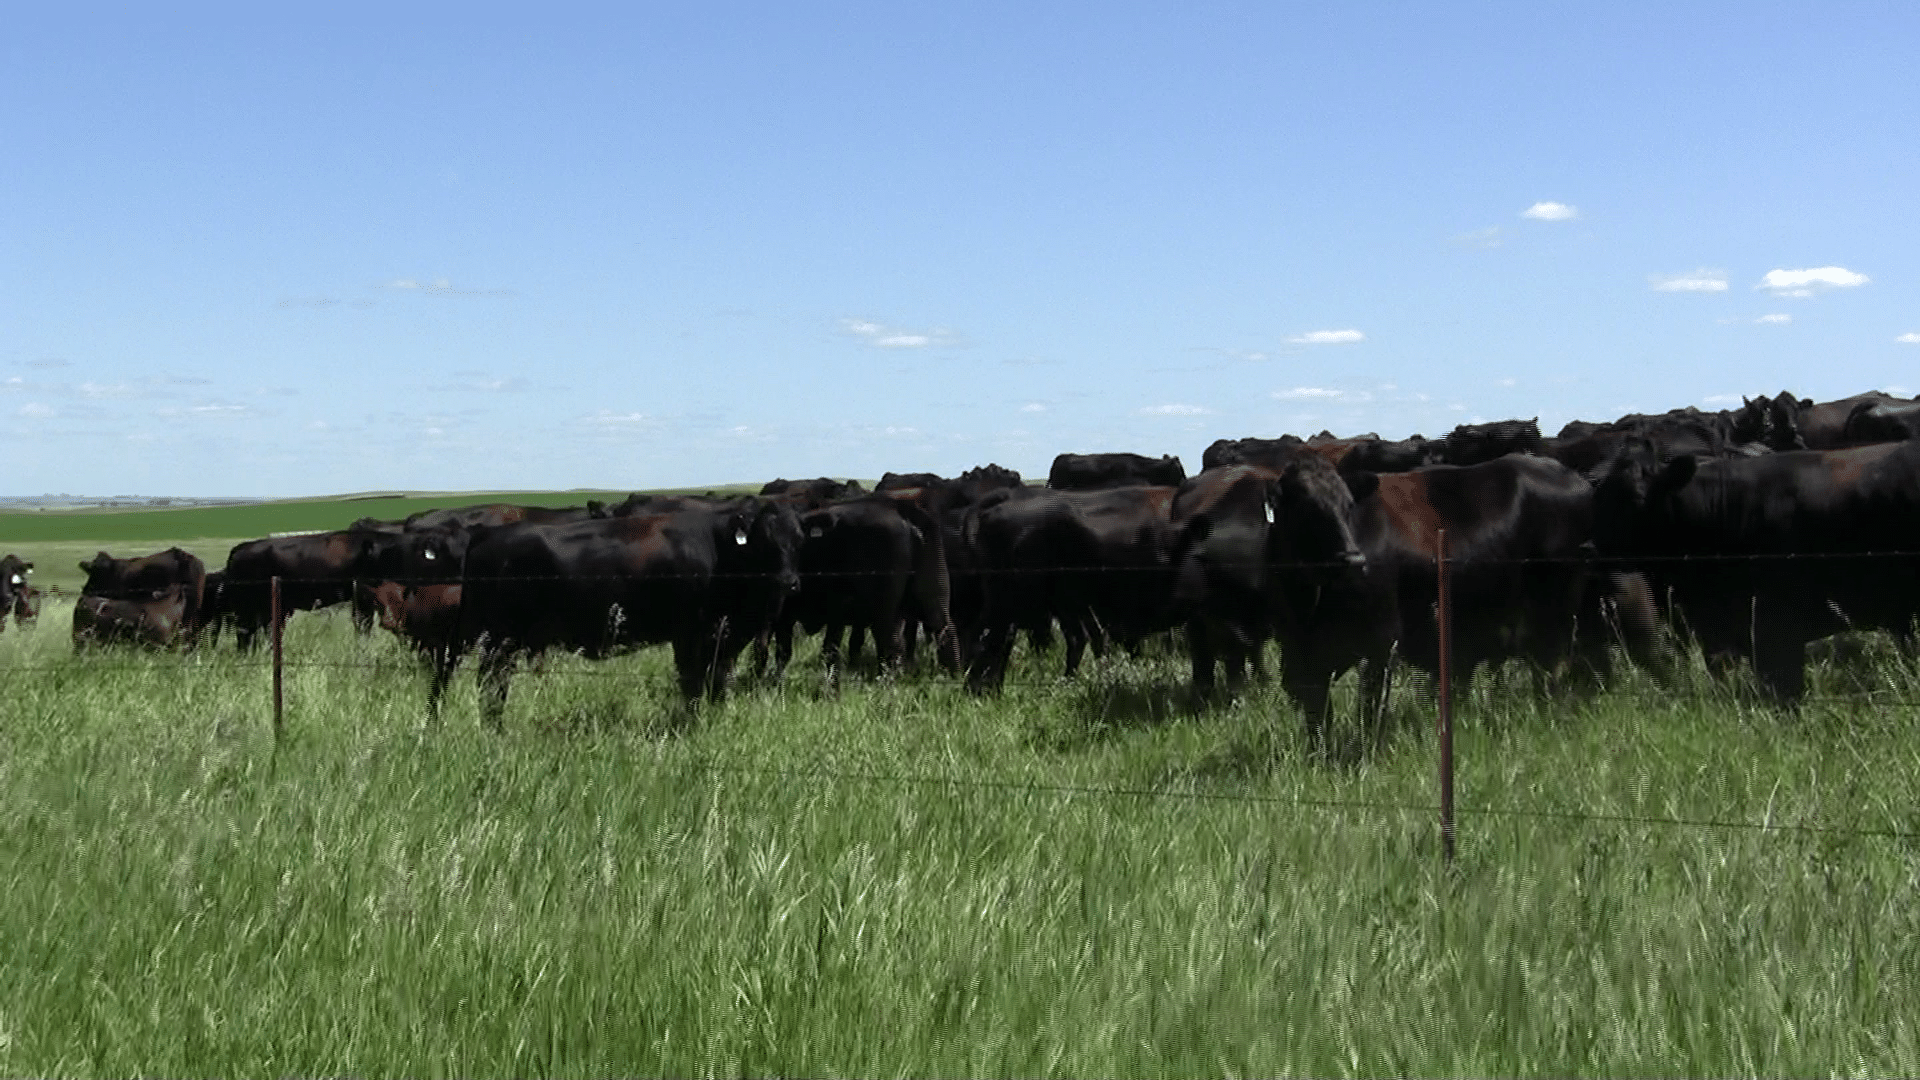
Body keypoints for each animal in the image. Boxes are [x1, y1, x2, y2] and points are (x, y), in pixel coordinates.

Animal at [445, 497, 804, 726]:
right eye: (762, 539)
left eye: (798, 539)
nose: (789, 581)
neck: (718, 550)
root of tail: (486, 534)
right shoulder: (690, 633)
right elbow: (692, 683)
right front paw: (693, 725)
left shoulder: (724, 639)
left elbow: (716, 681)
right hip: (499, 638)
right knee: (490, 682)